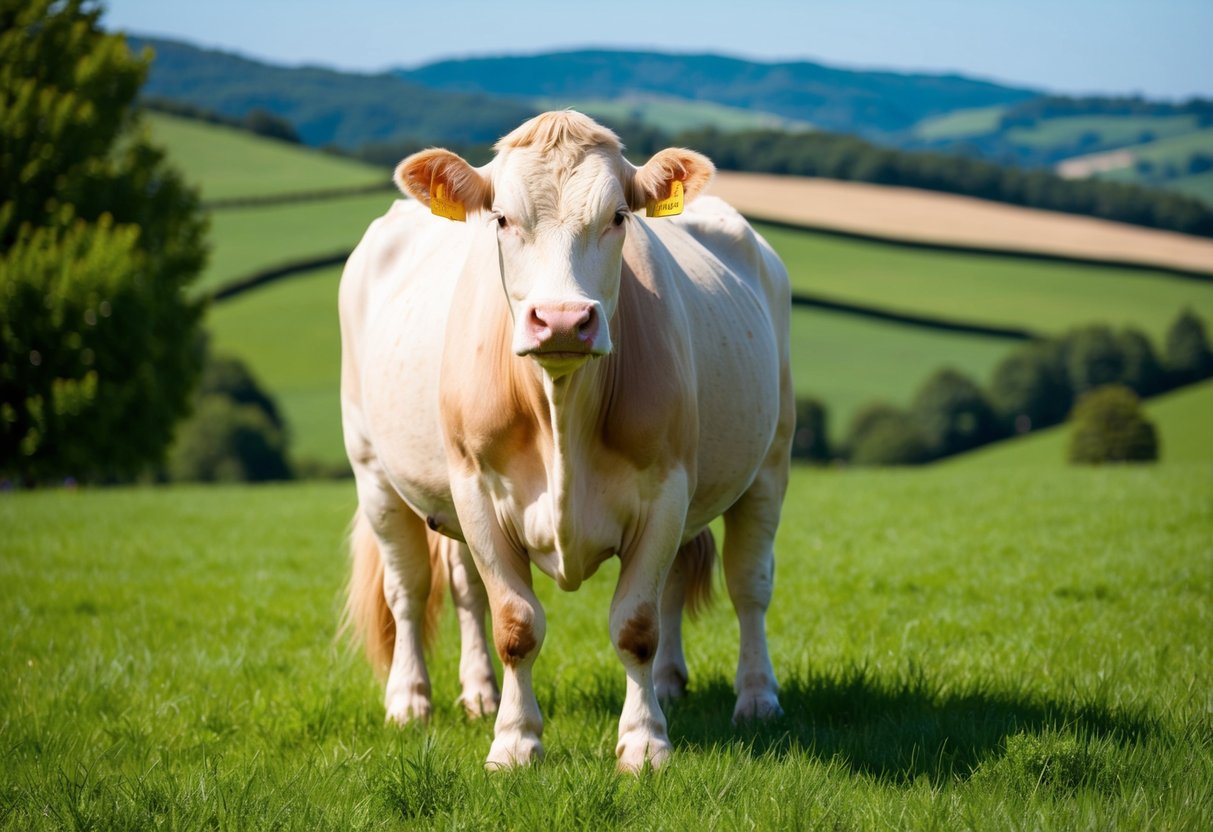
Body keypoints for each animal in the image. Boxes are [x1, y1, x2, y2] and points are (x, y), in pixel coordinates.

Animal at [342, 110, 795, 776]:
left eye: (619, 217)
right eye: (502, 218)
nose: (560, 320)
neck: (560, 409)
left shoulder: (668, 488)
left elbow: (637, 623)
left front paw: (645, 742)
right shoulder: (474, 489)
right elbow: (514, 623)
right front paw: (514, 742)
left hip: (770, 460)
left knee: (747, 584)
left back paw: (750, 696)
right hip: (376, 471)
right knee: (416, 589)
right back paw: (417, 700)